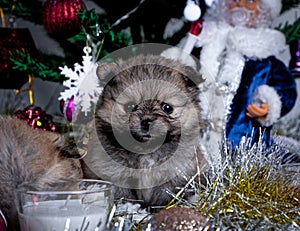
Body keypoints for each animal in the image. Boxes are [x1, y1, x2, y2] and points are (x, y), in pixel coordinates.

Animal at [82, 54, 207, 208]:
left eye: (167, 108)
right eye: (130, 106)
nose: (146, 122)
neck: (146, 150)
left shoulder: (174, 173)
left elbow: (165, 193)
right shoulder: (115, 172)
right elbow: (122, 193)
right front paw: (128, 206)